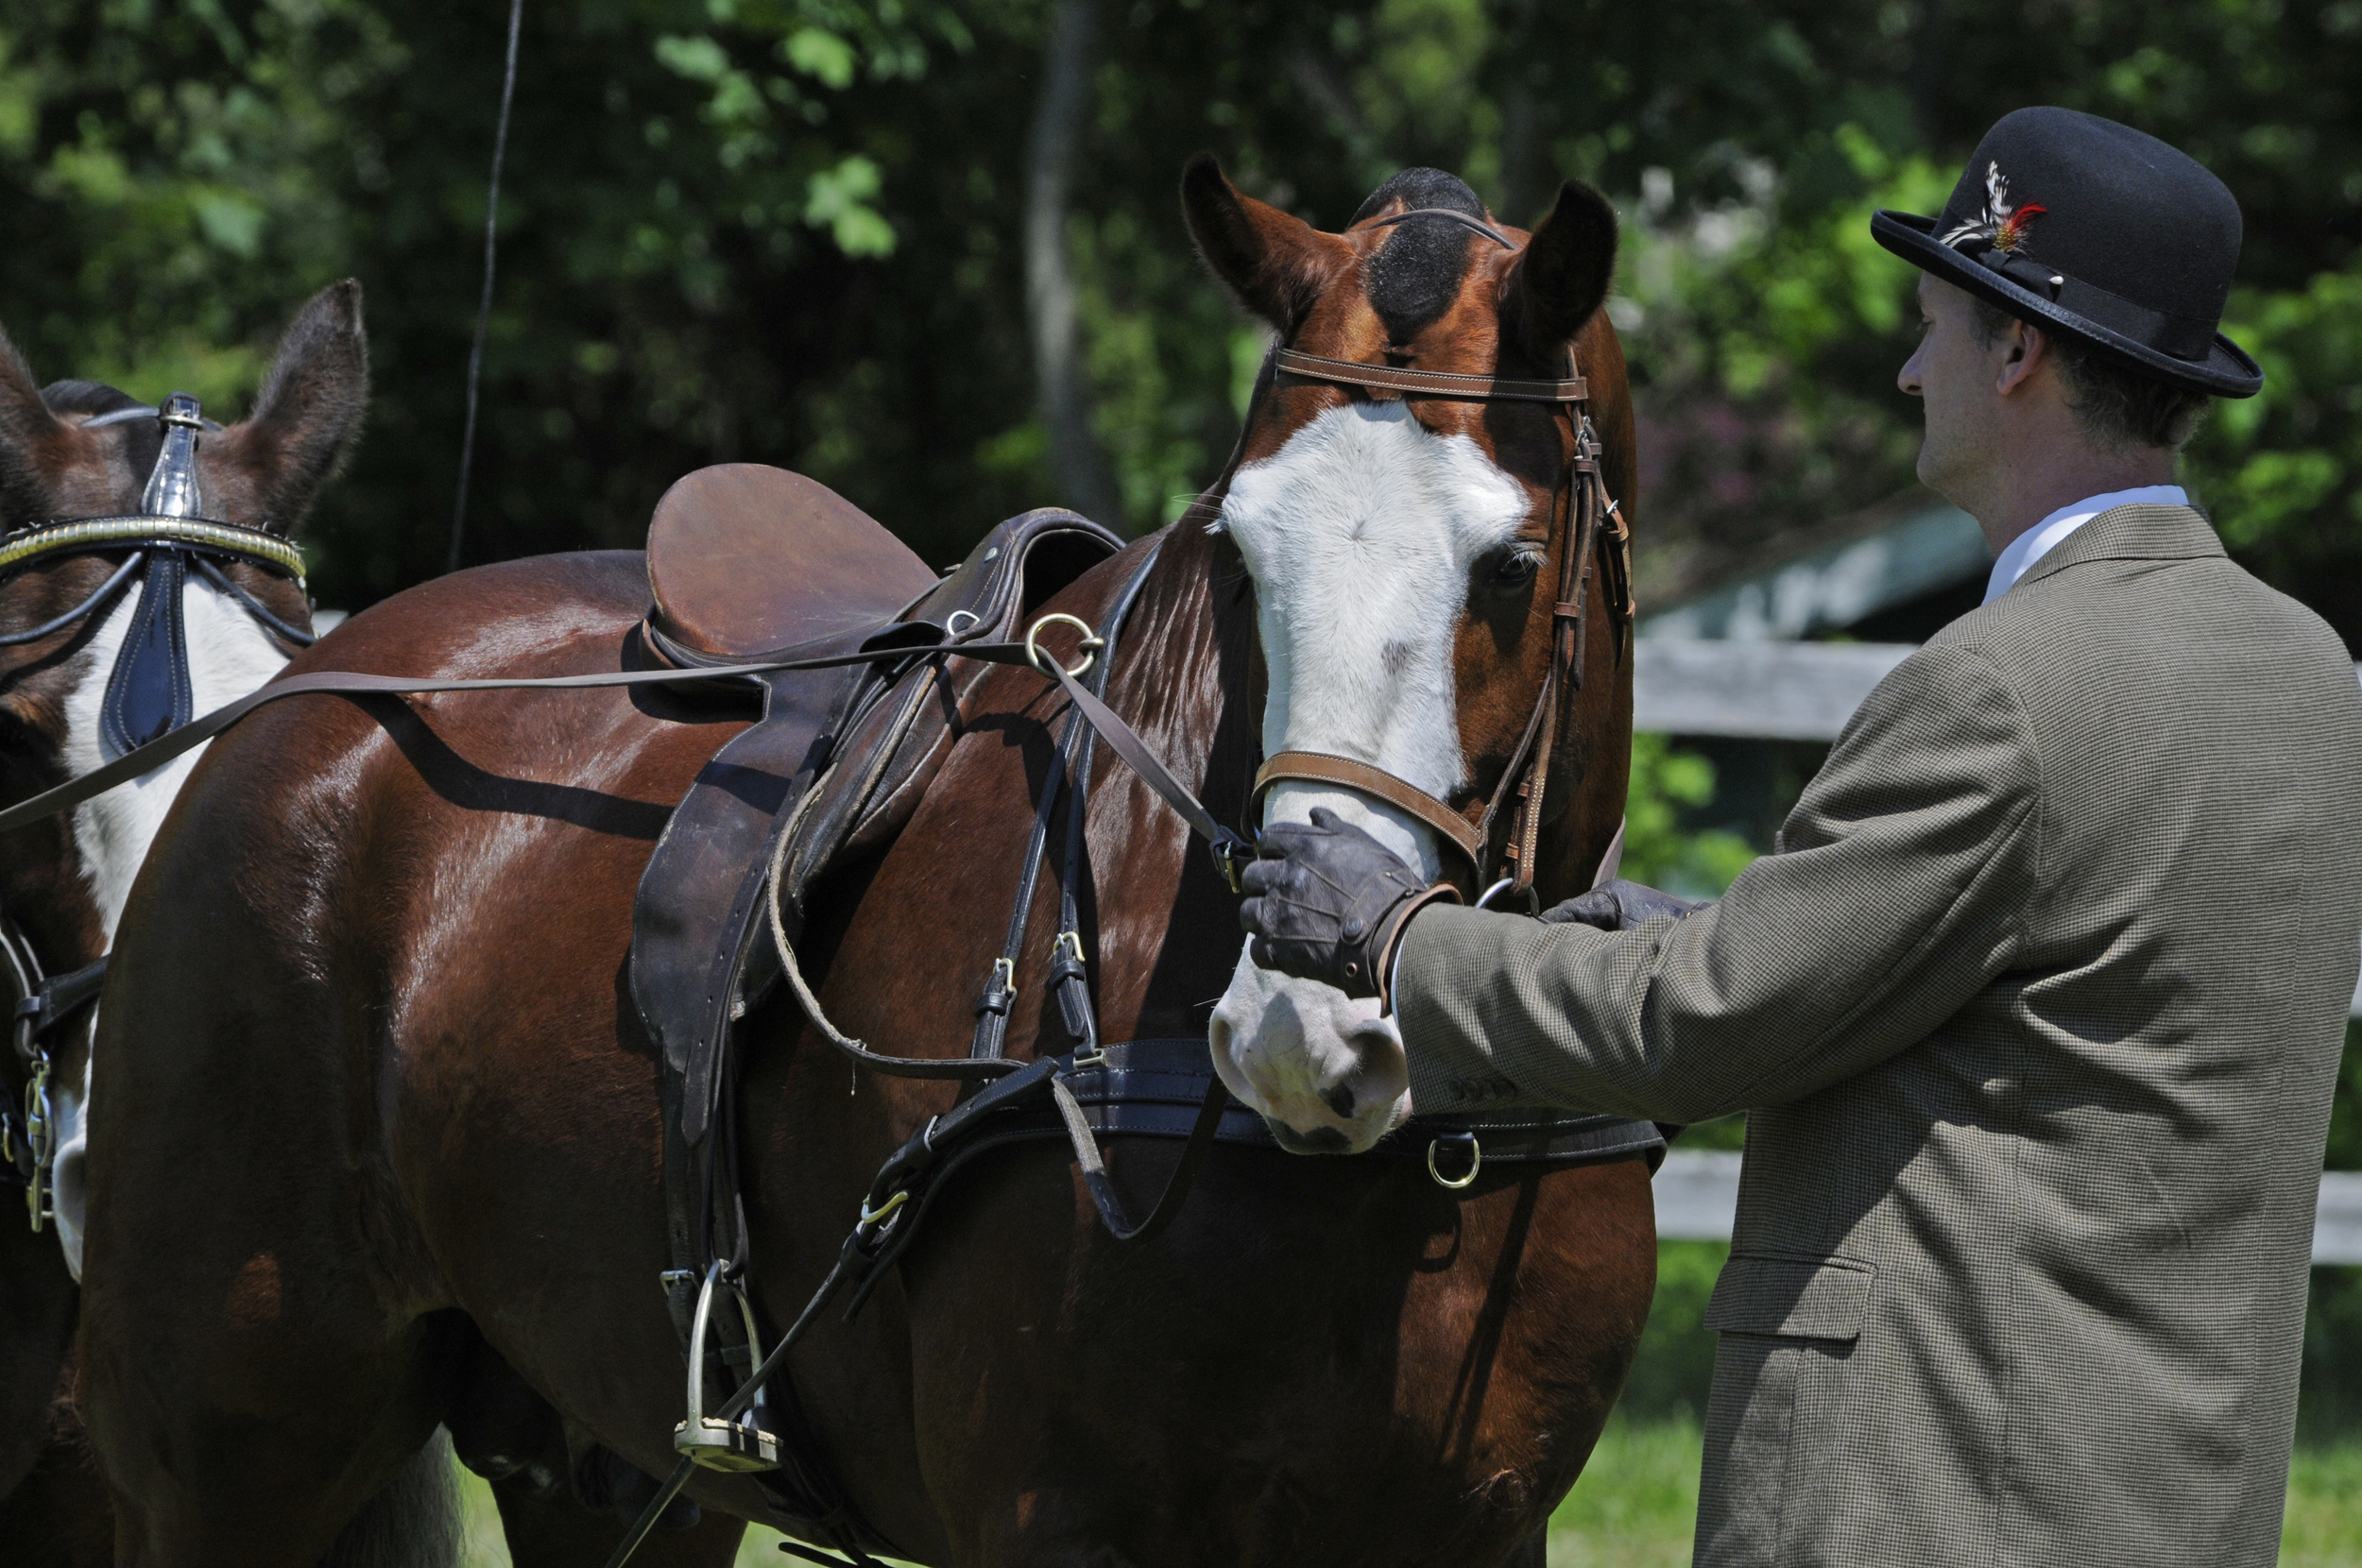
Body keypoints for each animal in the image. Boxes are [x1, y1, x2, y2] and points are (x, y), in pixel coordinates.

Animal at [83, 162, 1653, 1568]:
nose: (1299, 1023)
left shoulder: (1476, 1529)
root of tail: (311, 691)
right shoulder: (1053, 1523)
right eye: (1240, 553)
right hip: (227, 1443)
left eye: (1510, 568)